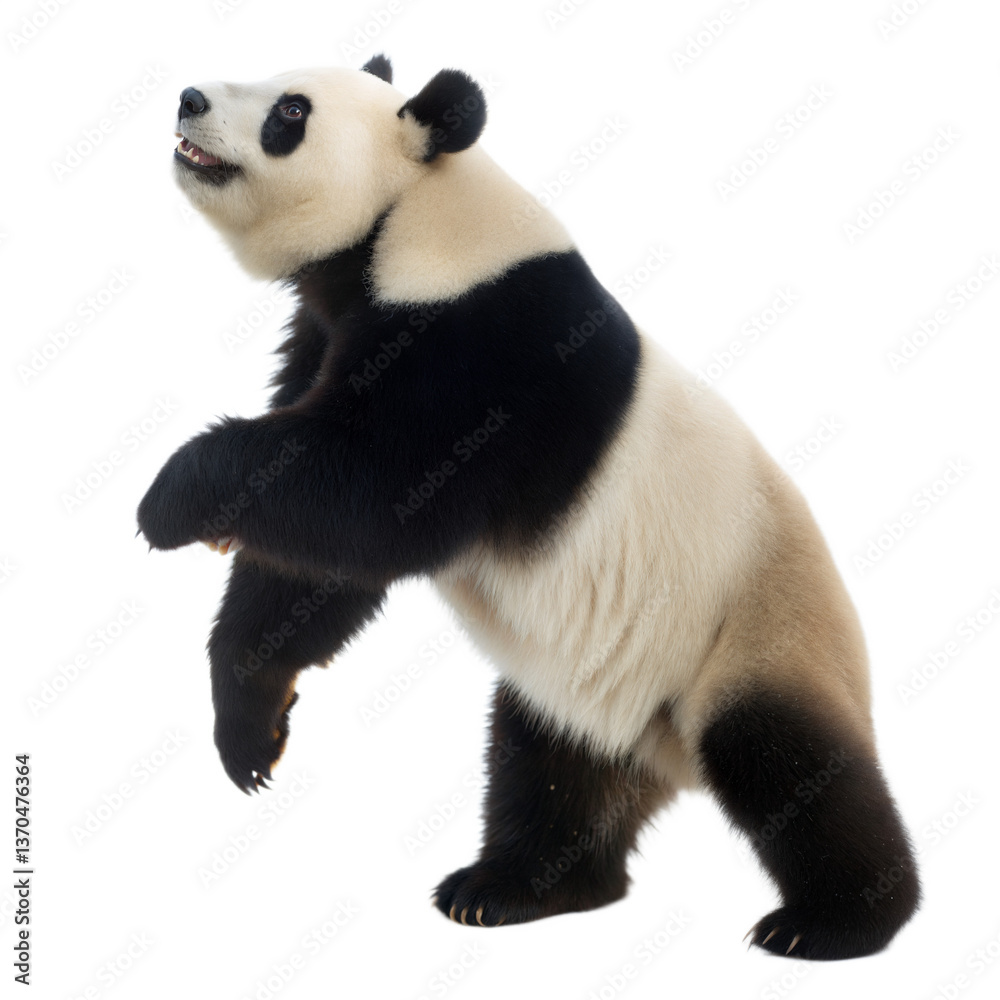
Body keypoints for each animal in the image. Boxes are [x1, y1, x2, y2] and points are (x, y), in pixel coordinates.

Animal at [137, 54, 920, 960]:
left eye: (290, 112)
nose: (189, 98)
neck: (412, 215)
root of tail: (669, 752)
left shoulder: (484, 347)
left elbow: (377, 502)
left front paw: (170, 502)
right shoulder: (332, 333)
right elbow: (315, 563)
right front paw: (253, 729)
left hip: (756, 628)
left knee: (786, 761)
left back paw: (834, 920)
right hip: (589, 682)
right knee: (550, 762)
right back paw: (516, 887)